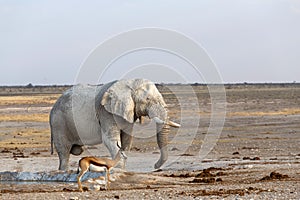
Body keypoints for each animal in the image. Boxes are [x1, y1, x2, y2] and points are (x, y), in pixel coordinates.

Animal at [49, 78, 180, 170]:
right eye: (147, 99)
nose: (155, 166)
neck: (129, 83)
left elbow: (127, 141)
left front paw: (122, 170)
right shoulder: (106, 112)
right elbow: (111, 140)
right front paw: (118, 170)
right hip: (59, 123)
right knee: (64, 152)